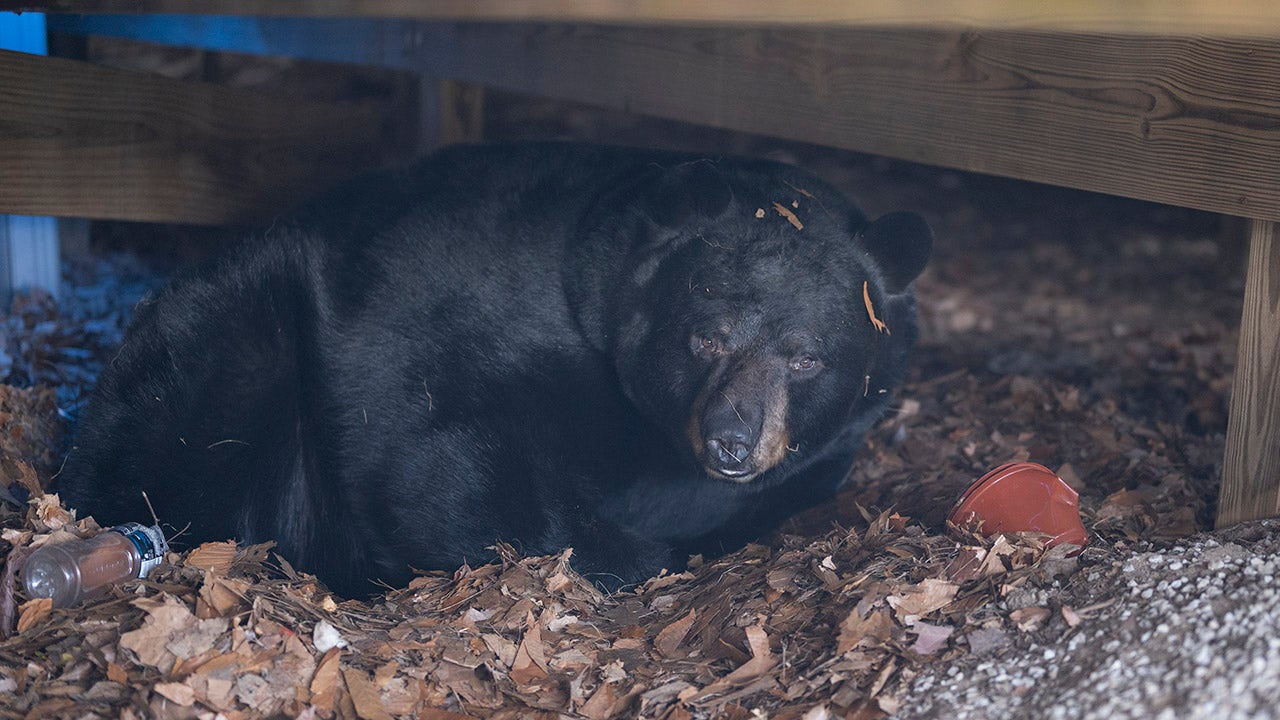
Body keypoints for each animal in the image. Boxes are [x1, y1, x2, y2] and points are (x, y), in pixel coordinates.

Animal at [57, 141, 931, 594]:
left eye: (806, 356)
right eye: (706, 338)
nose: (731, 441)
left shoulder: (832, 443)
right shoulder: (466, 337)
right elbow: (441, 465)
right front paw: (623, 551)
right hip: (231, 345)